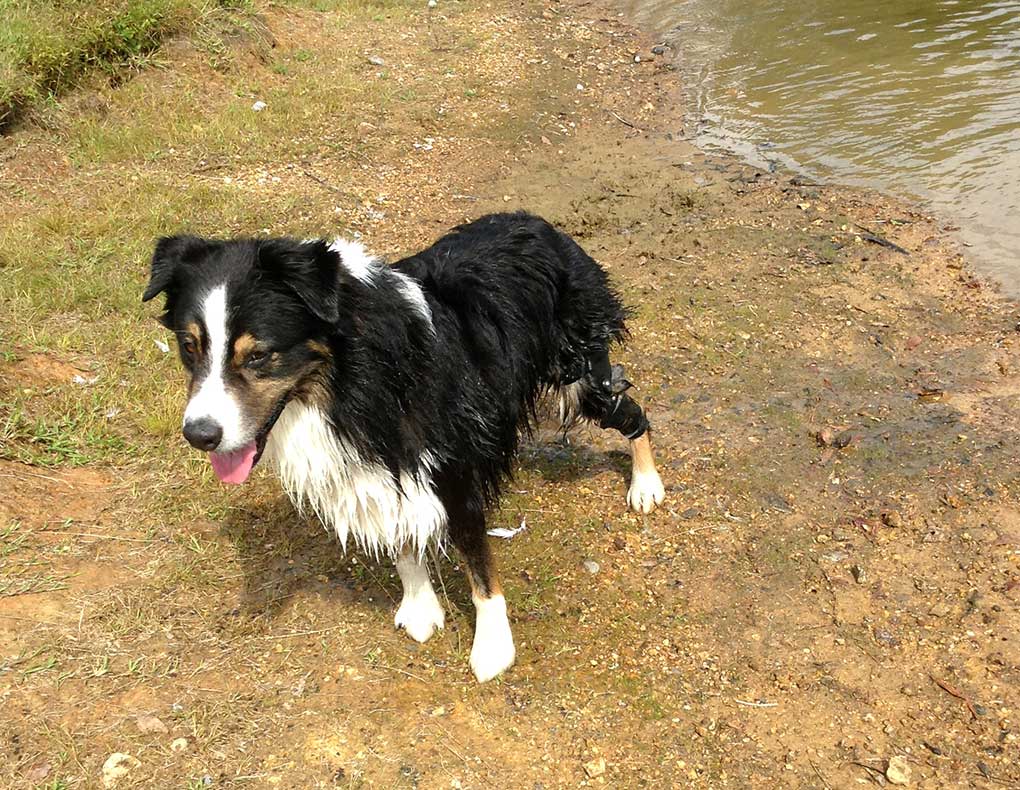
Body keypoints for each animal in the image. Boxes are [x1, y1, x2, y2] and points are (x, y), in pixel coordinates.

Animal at [145, 213, 669, 680]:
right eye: (189, 346)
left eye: (259, 355)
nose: (199, 434)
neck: (352, 376)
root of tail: (542, 225)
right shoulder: (375, 466)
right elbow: (399, 539)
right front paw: (420, 607)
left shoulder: (455, 468)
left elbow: (479, 565)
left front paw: (493, 649)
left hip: (581, 376)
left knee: (635, 415)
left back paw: (646, 485)